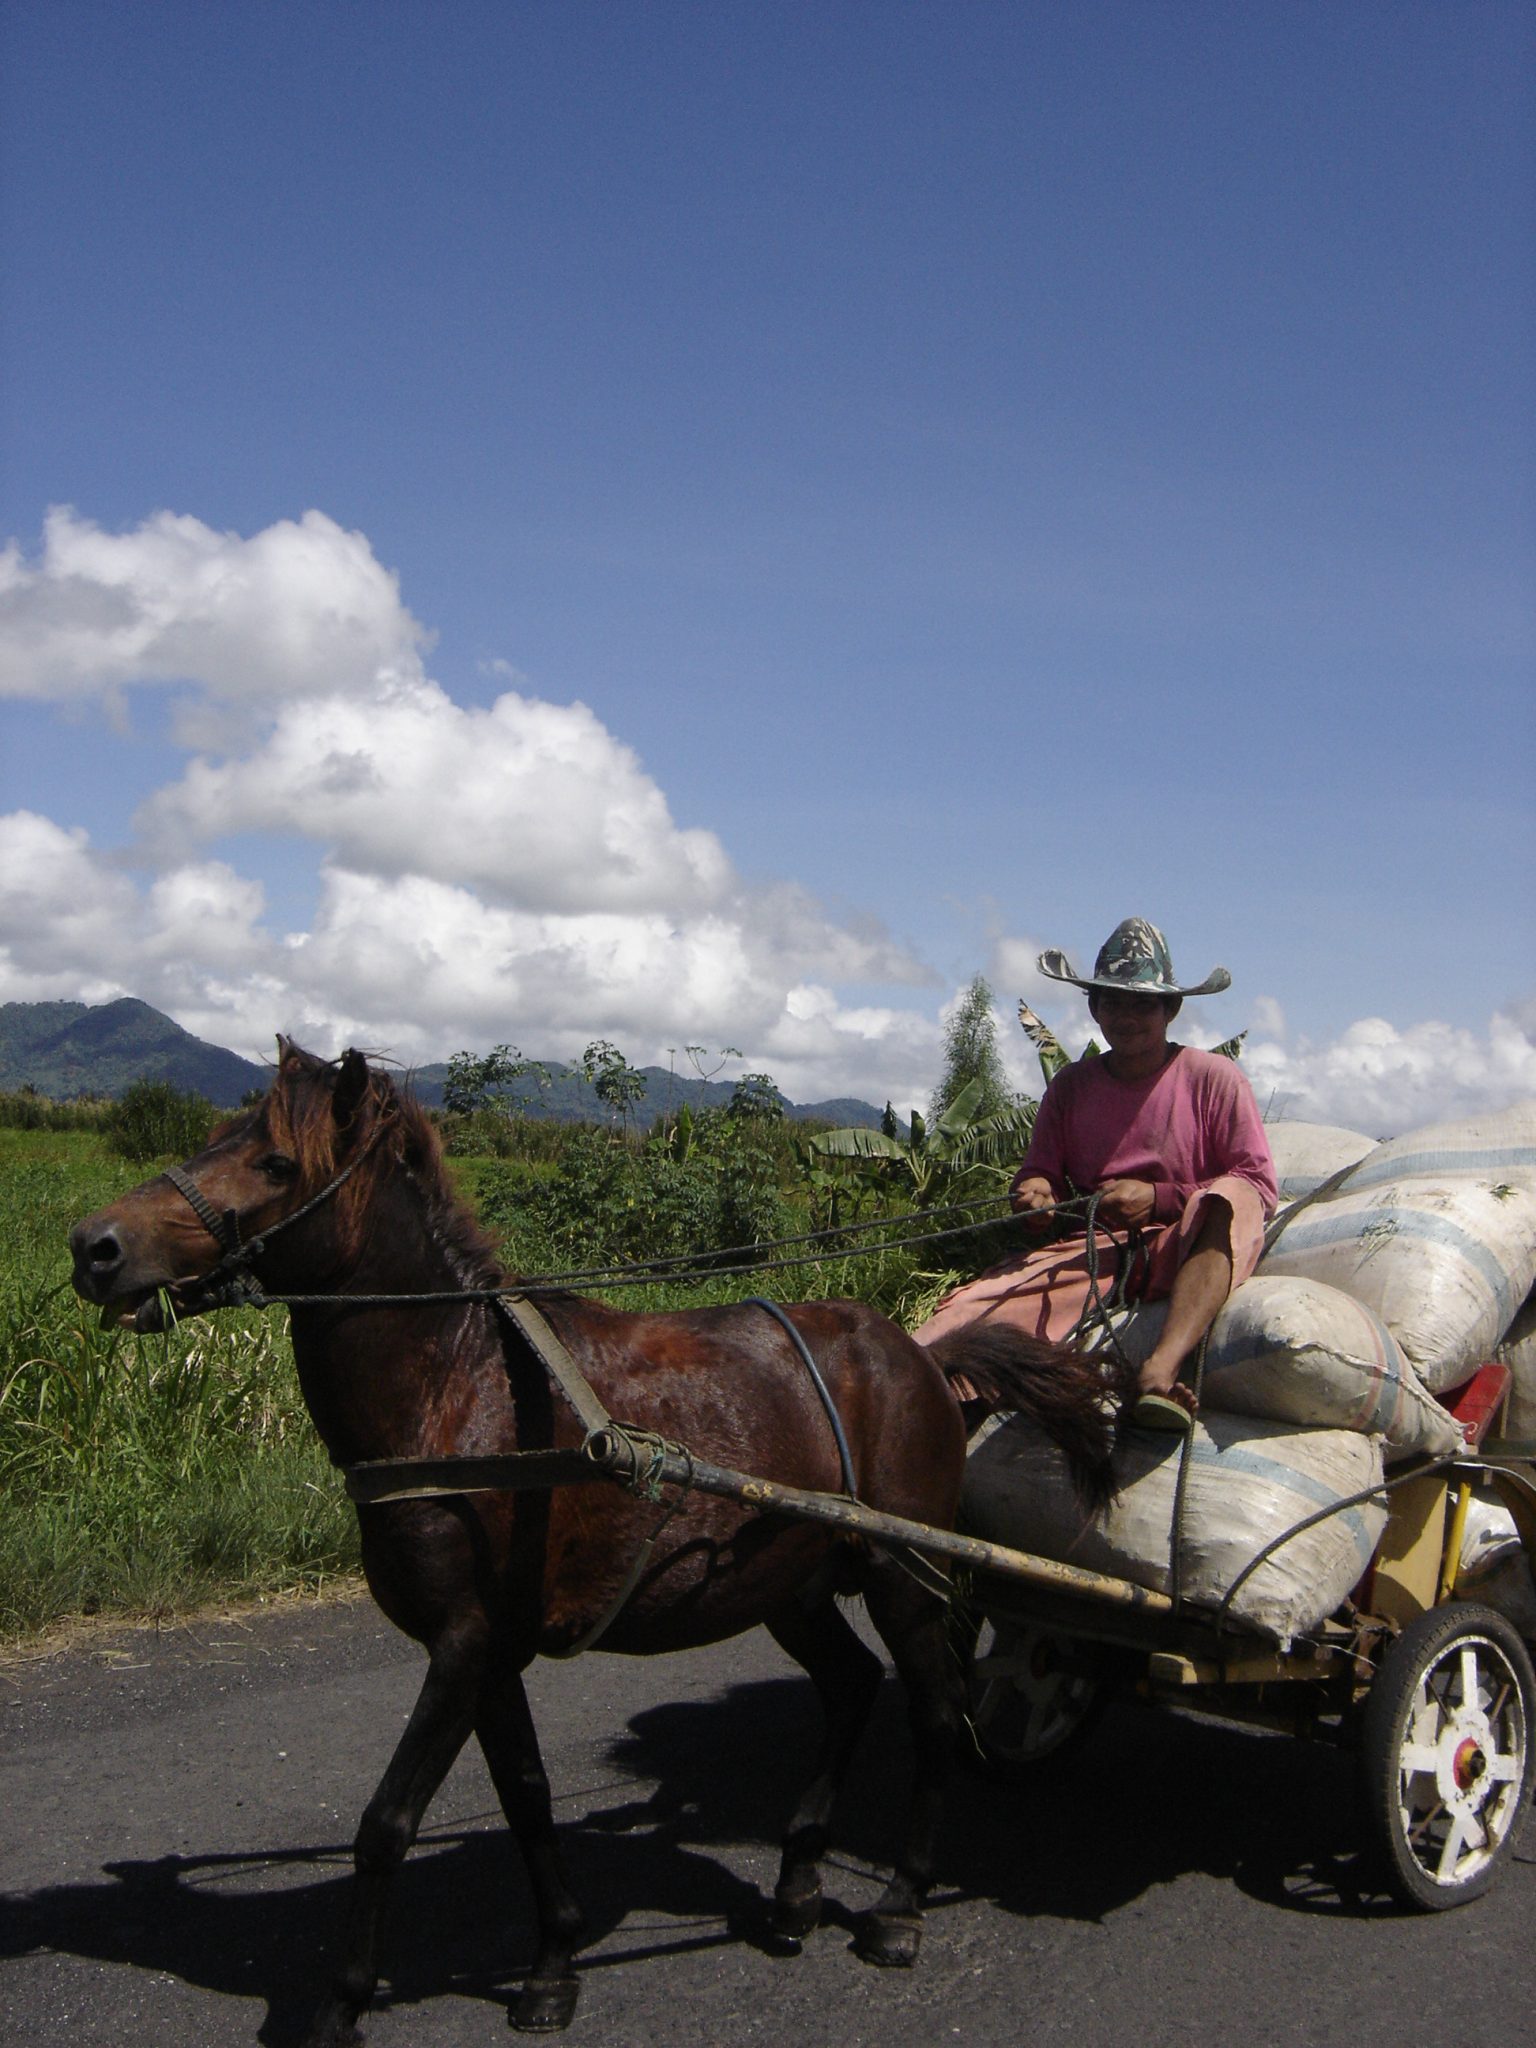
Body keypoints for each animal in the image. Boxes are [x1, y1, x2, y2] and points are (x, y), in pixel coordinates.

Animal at [69, 1048, 1122, 2039]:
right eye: (218, 1133)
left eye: (276, 1162)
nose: (92, 1246)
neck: (461, 1385)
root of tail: (924, 1358)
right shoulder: (491, 1652)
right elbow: (528, 1797)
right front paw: (553, 1963)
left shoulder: (461, 1644)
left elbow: (387, 1821)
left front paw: (344, 1999)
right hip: (788, 1587)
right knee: (853, 1685)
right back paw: (796, 1887)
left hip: (907, 1576)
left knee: (936, 1712)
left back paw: (902, 1904)